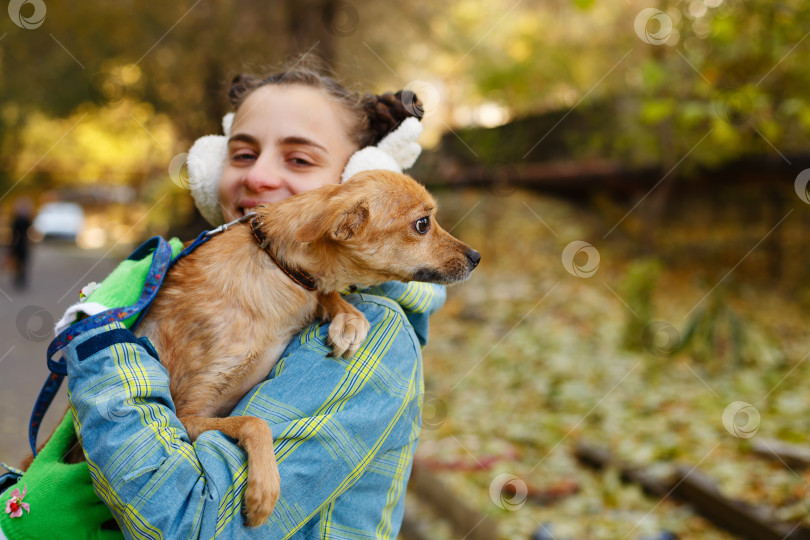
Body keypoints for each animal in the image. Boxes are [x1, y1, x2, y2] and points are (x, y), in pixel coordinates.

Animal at [130, 172, 476, 528]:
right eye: (423, 224)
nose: (476, 257)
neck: (277, 266)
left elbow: (326, 295)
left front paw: (346, 317)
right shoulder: (187, 414)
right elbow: (255, 422)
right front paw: (264, 490)